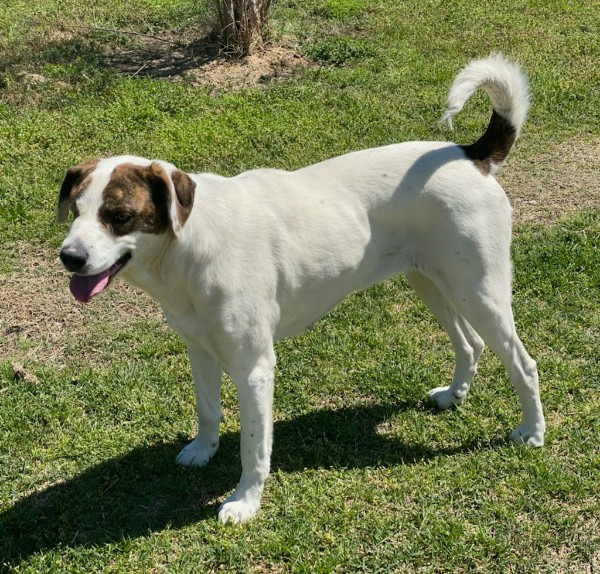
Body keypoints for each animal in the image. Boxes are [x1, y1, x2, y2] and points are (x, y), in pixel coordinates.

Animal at [58, 54, 548, 528]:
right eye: (76, 210)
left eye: (119, 216)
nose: (69, 257)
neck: (190, 244)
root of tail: (472, 155)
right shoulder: (199, 348)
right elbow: (207, 409)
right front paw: (202, 450)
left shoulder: (254, 367)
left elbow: (254, 446)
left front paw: (245, 502)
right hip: (433, 282)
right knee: (471, 343)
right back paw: (454, 395)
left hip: (479, 291)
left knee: (523, 363)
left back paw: (532, 432)